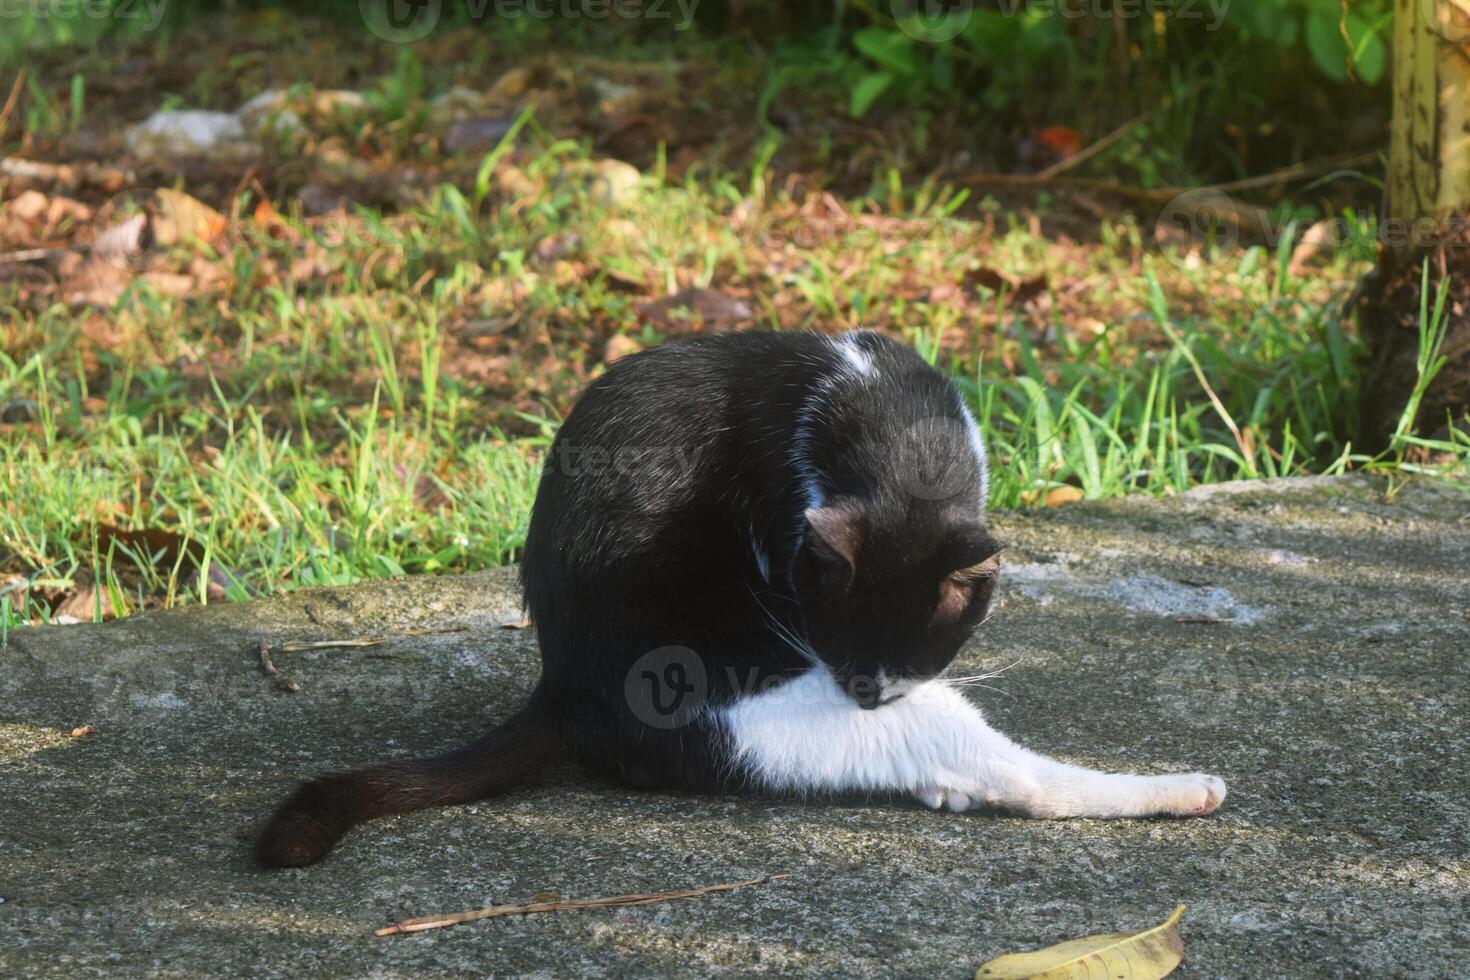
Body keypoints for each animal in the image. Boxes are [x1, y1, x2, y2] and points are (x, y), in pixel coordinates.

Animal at [258, 333, 1223, 869]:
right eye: (838, 646)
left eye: (907, 647)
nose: (862, 693)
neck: (885, 420)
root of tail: (563, 691)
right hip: (767, 707)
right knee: (1015, 775)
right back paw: (1185, 791)